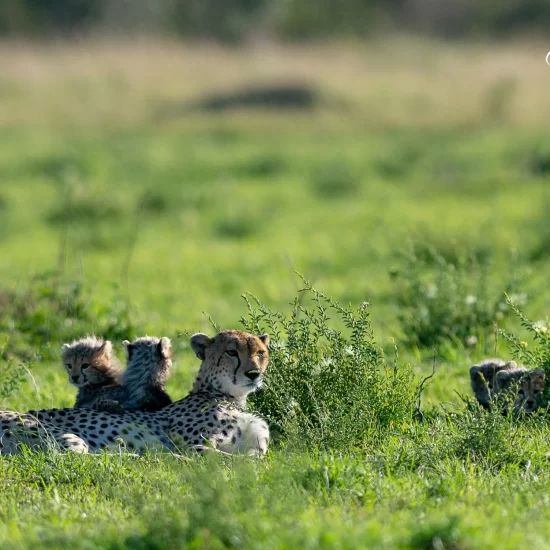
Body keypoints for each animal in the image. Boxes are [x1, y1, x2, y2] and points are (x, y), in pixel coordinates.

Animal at [0, 332, 272, 458]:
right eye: (231, 352)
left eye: (260, 353)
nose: (253, 374)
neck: (231, 397)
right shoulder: (194, 444)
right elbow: (223, 456)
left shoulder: (257, 446)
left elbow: (254, 457)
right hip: (63, 437)